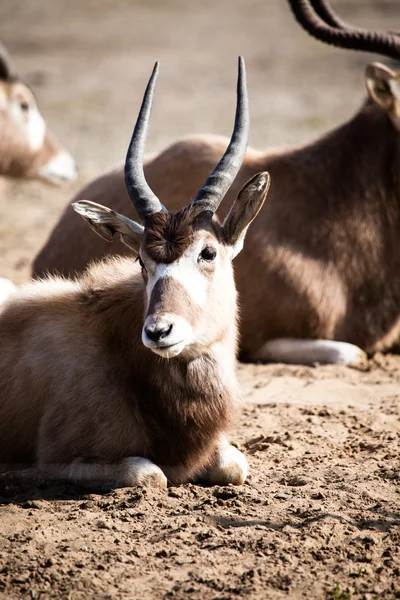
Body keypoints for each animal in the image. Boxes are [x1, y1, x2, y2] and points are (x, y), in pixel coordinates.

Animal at [0, 57, 270, 488]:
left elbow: (234, 465)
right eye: (142, 260)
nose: (159, 332)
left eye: (207, 252)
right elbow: (149, 473)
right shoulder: (57, 459)